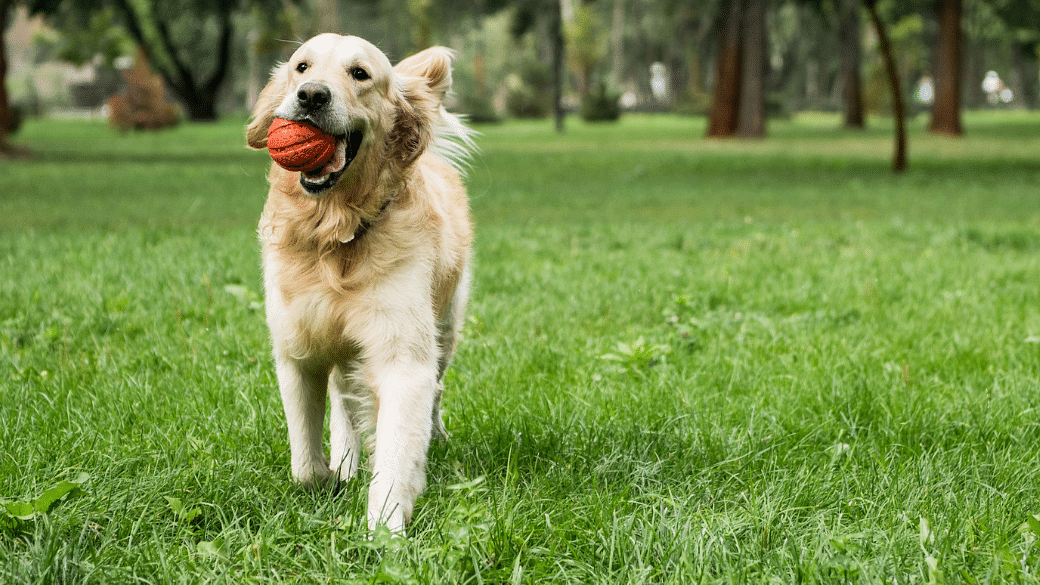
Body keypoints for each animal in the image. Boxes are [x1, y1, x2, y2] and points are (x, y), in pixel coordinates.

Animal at [245, 33, 474, 532]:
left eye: (360, 74)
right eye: (301, 66)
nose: (311, 95)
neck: (335, 234)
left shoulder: (403, 355)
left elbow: (396, 448)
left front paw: (385, 528)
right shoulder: (298, 350)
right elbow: (304, 462)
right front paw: (329, 477)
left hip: (445, 326)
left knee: (435, 390)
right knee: (344, 400)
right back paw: (347, 460)